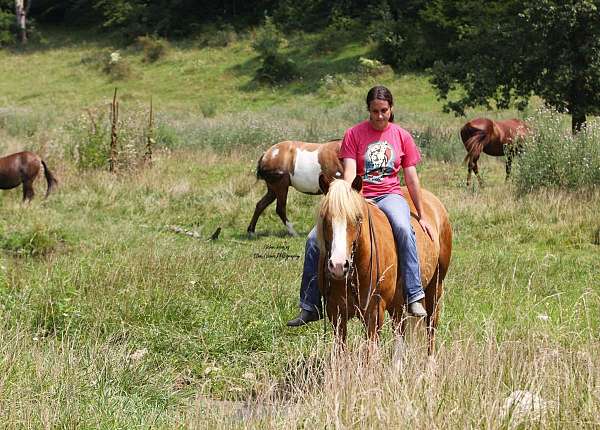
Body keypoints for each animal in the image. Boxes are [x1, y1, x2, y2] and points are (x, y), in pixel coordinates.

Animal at [318, 173, 450, 354]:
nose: (338, 266)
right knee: (400, 333)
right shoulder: (336, 313)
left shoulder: (374, 313)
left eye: (357, 218)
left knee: (431, 329)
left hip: (435, 289)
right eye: (325, 218)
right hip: (398, 302)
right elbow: (341, 352)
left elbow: (369, 354)